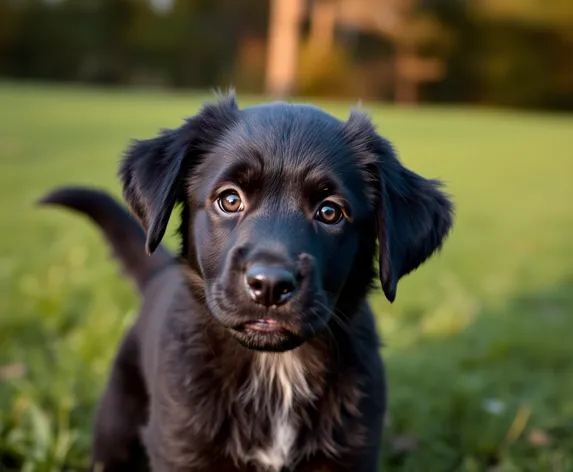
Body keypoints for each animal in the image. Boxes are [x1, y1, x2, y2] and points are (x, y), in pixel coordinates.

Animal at [39, 93, 452, 472]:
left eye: (330, 212)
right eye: (230, 200)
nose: (269, 284)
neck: (275, 370)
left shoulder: (353, 449)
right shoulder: (180, 445)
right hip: (116, 424)